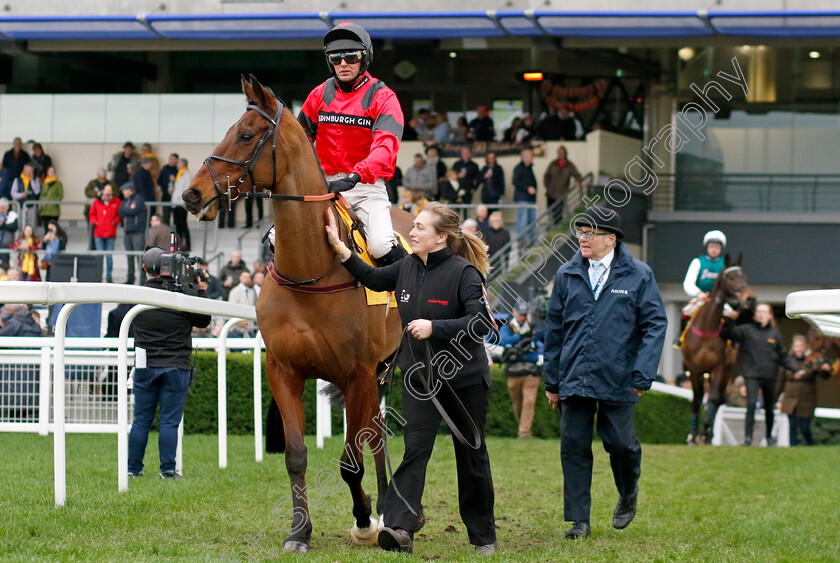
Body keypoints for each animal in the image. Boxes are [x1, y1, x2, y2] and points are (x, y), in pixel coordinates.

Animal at [181, 74, 414, 552]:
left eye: (245, 134)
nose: (193, 194)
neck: (311, 272)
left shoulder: (359, 374)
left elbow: (350, 460)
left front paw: (364, 518)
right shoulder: (284, 370)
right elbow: (295, 454)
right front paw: (299, 531)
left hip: (383, 369)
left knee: (374, 438)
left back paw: (384, 511)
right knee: (376, 433)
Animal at [680, 256, 756, 446]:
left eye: (745, 276)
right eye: (731, 277)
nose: (750, 299)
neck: (707, 327)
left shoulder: (718, 368)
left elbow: (713, 398)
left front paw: (705, 429)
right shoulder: (694, 369)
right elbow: (697, 399)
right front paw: (693, 435)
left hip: (727, 373)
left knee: (720, 399)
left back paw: (708, 434)